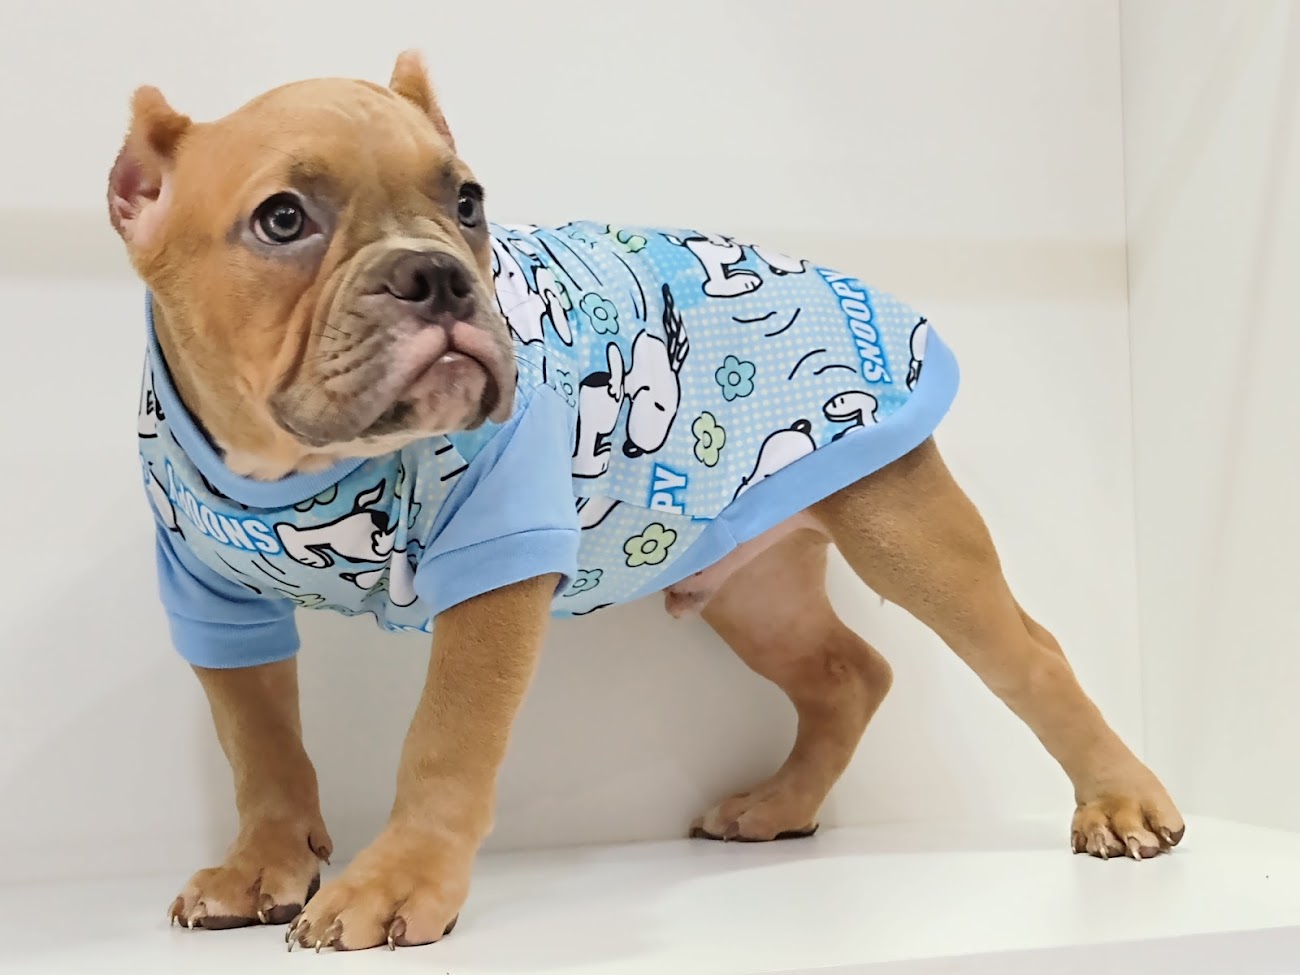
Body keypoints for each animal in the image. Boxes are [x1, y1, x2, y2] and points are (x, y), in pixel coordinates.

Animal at [108, 51, 1184, 952]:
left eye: (467, 201)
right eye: (283, 219)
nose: (439, 272)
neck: (303, 464)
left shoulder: (496, 575)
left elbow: (445, 741)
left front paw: (394, 882)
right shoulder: (215, 601)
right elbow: (261, 746)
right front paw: (263, 864)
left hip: (907, 529)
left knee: (1029, 657)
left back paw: (1123, 803)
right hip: (751, 587)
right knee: (846, 672)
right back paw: (779, 805)